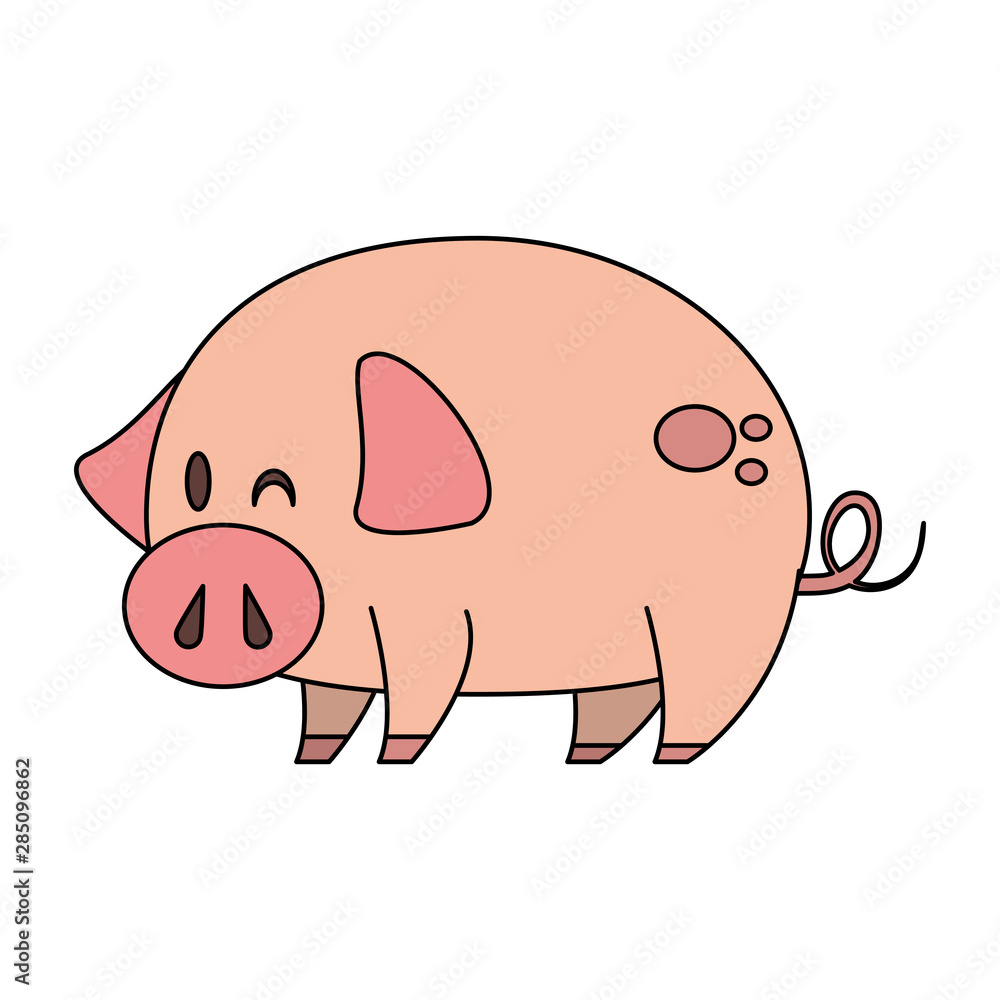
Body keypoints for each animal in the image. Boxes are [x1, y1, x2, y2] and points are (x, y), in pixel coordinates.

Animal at [75, 237, 925, 765]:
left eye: (278, 491)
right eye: (194, 484)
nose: (211, 555)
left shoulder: (431, 619)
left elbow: (419, 699)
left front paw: (392, 763)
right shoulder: (338, 661)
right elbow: (326, 712)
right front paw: (312, 760)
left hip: (723, 608)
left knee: (702, 705)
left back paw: (667, 760)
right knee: (615, 706)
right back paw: (583, 761)